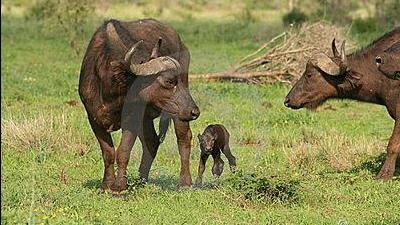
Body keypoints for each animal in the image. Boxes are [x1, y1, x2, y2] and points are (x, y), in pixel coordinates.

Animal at [78, 18, 200, 192]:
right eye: (169, 81)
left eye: (179, 81)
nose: (195, 111)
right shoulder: (93, 118)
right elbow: (108, 152)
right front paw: (107, 184)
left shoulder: (132, 119)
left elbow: (123, 151)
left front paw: (119, 187)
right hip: (148, 117)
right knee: (152, 142)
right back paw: (141, 179)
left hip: (179, 113)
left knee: (183, 138)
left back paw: (185, 182)